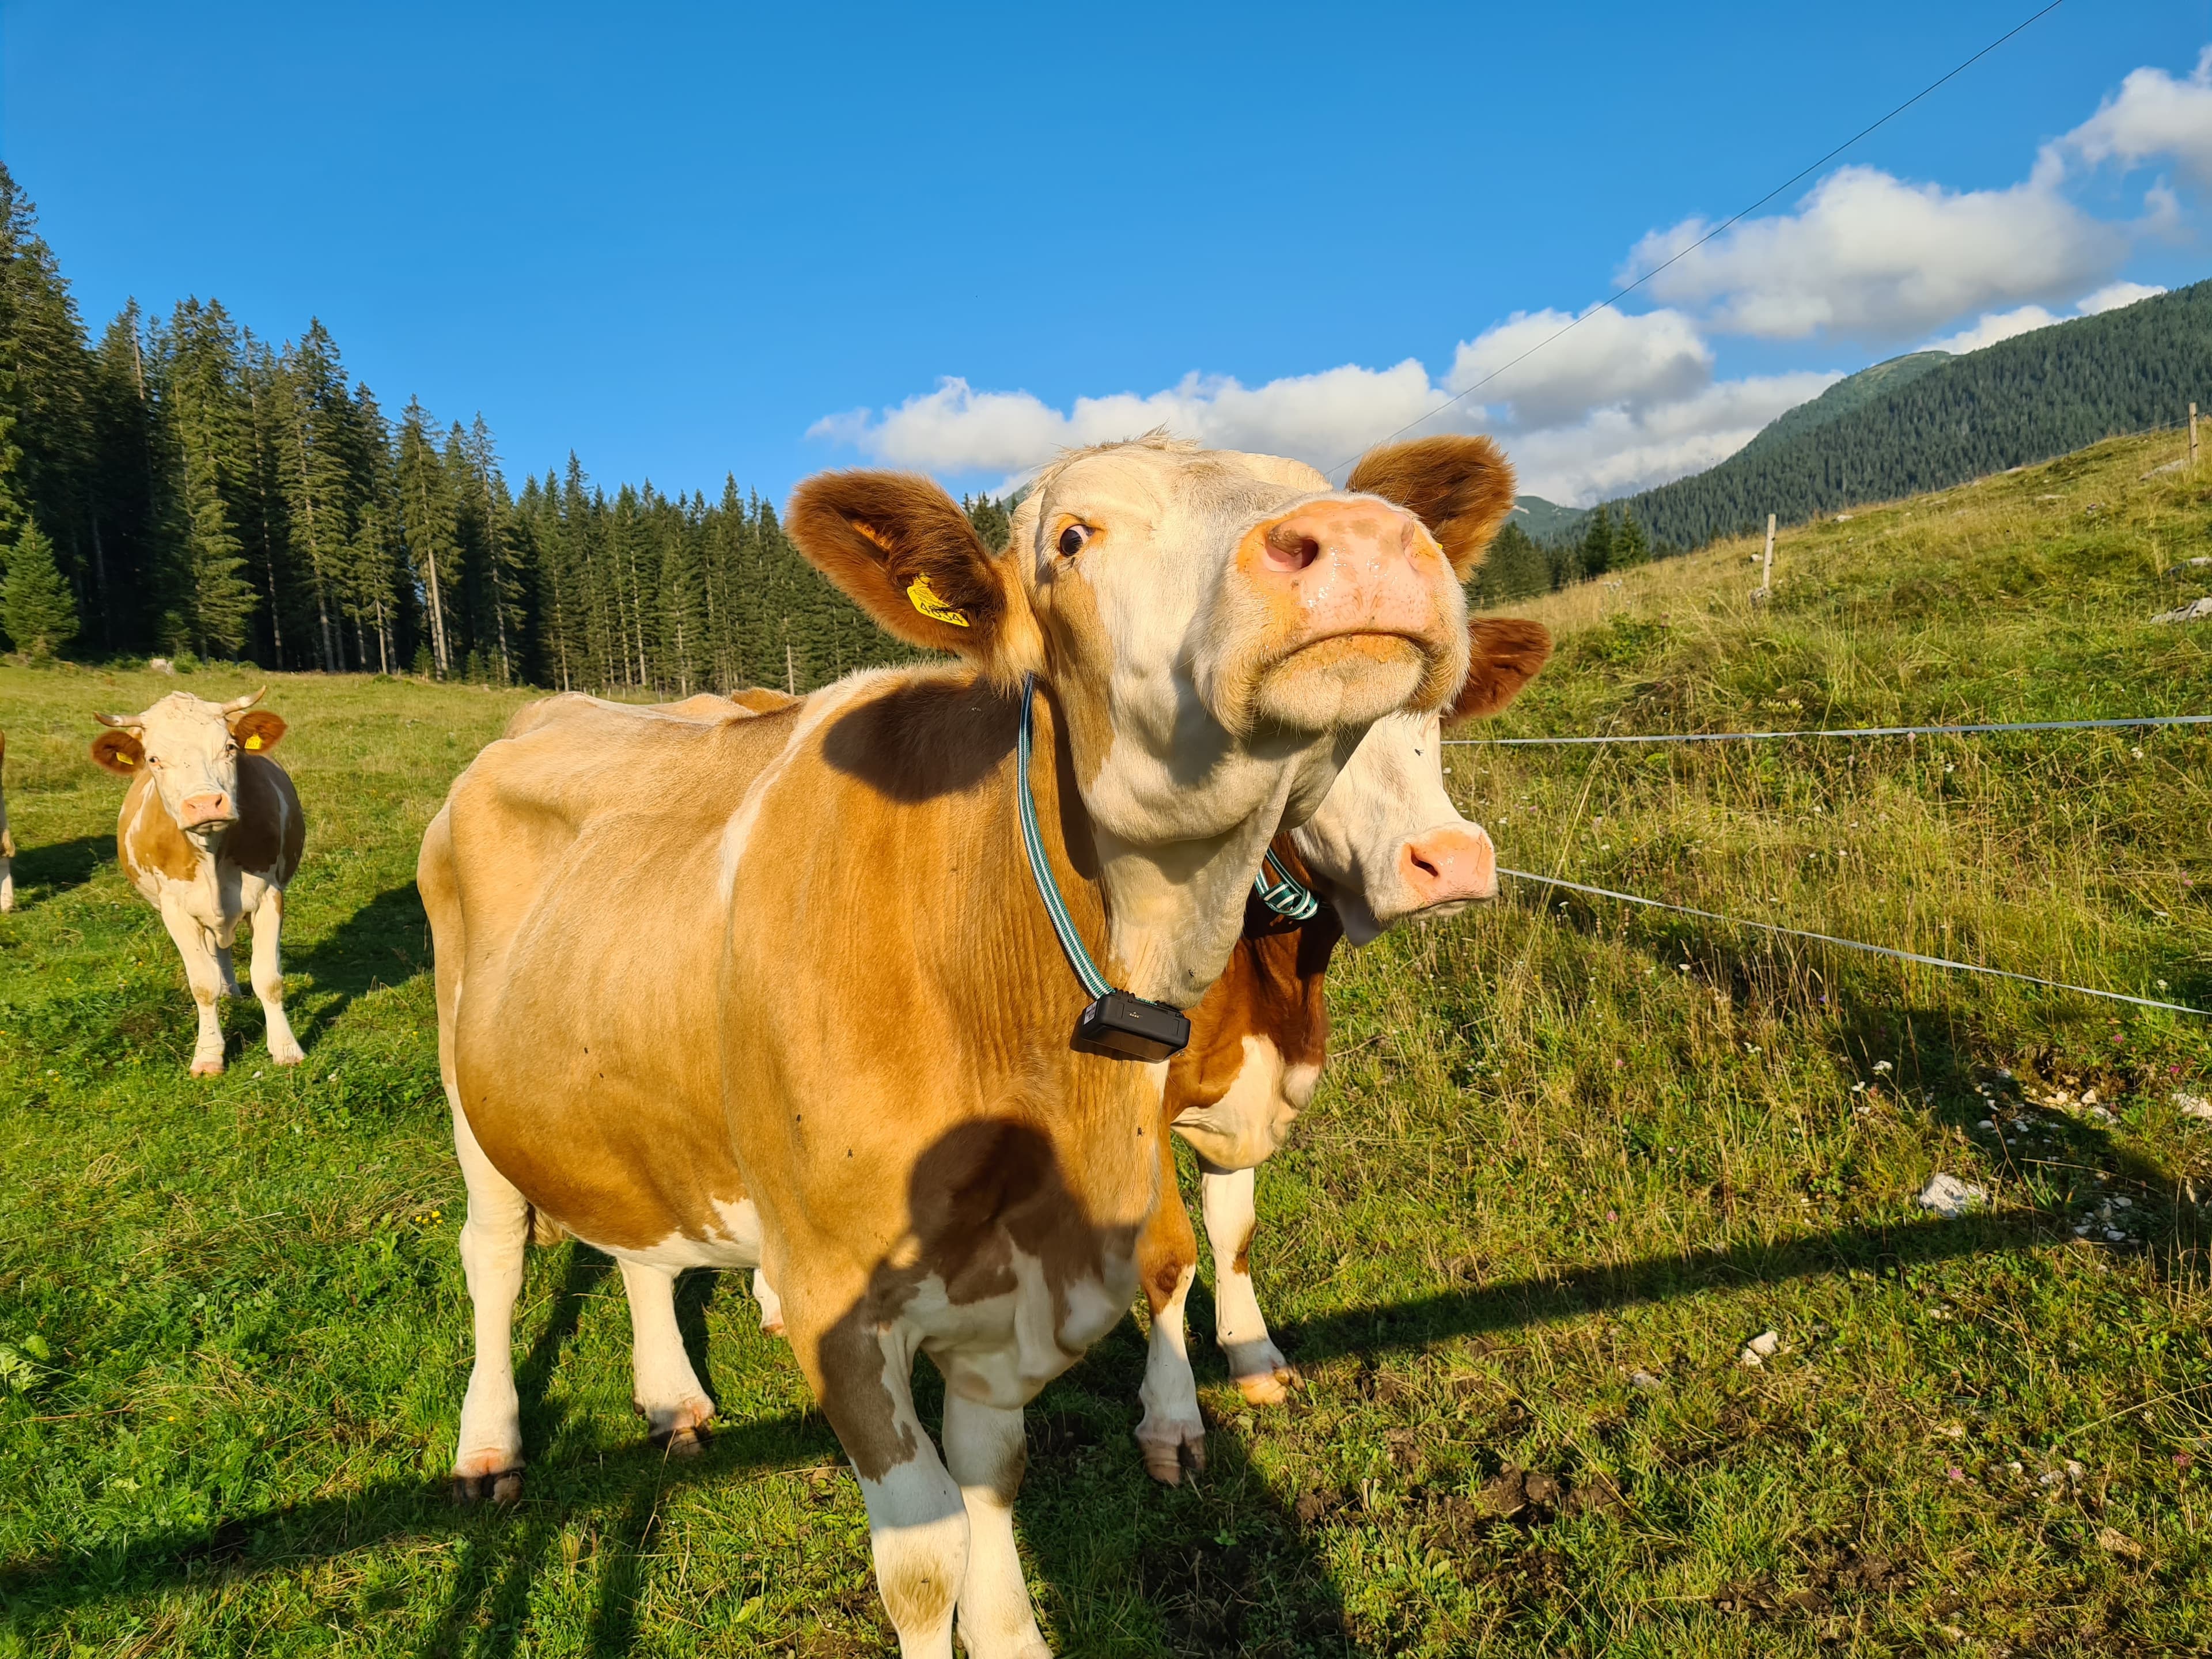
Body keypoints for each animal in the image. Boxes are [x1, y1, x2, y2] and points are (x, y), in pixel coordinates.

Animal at [93, 690, 307, 1079]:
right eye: (154, 759)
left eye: (229, 748)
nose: (206, 804)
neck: (211, 854)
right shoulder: (175, 910)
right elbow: (202, 985)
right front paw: (208, 1055)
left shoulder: (269, 896)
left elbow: (268, 978)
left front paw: (285, 1048)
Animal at [1132, 619, 1548, 1486]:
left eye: (1439, 713)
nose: (1453, 861)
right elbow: (1168, 1255)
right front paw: (1172, 1420)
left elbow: (1234, 1229)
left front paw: (1255, 1359)